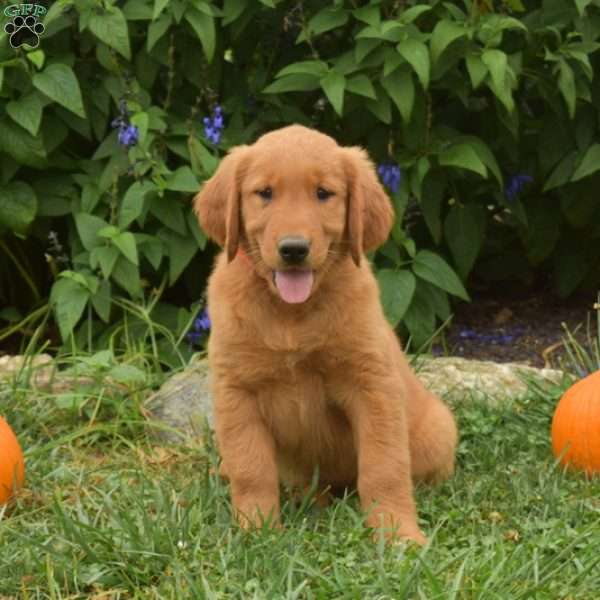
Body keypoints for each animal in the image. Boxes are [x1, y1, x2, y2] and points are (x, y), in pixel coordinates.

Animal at [195, 124, 458, 548]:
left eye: (323, 193)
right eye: (264, 193)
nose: (294, 249)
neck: (292, 314)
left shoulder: (372, 385)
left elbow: (384, 466)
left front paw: (397, 532)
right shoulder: (236, 391)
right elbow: (251, 468)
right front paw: (256, 531)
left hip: (437, 430)